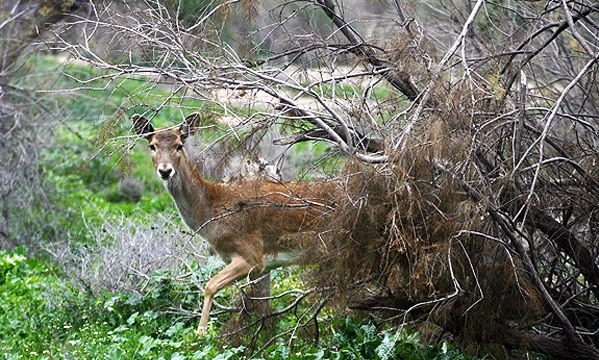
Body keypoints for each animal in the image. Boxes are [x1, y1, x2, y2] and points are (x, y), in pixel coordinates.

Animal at [132, 113, 338, 334]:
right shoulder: (264, 265)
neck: (211, 212)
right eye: (152, 146)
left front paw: (201, 332)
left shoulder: (251, 254)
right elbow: (260, 306)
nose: (165, 170)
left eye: (179, 145)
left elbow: (209, 286)